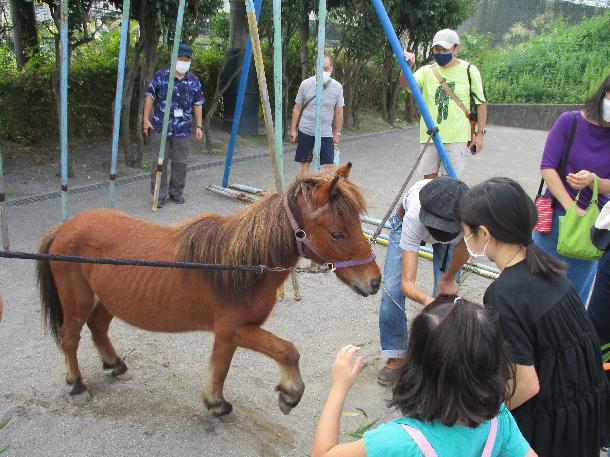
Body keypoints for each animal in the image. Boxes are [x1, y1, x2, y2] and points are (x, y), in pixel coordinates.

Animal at [35, 163, 378, 414]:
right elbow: (288, 351)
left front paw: (216, 403)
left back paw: (116, 365)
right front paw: (290, 394)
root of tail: (64, 228)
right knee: (70, 338)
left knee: (98, 328)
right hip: (77, 301)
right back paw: (77, 385)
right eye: (337, 233)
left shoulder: (230, 333)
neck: (239, 267)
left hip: (108, 300)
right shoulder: (235, 329)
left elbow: (220, 368)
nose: (374, 281)